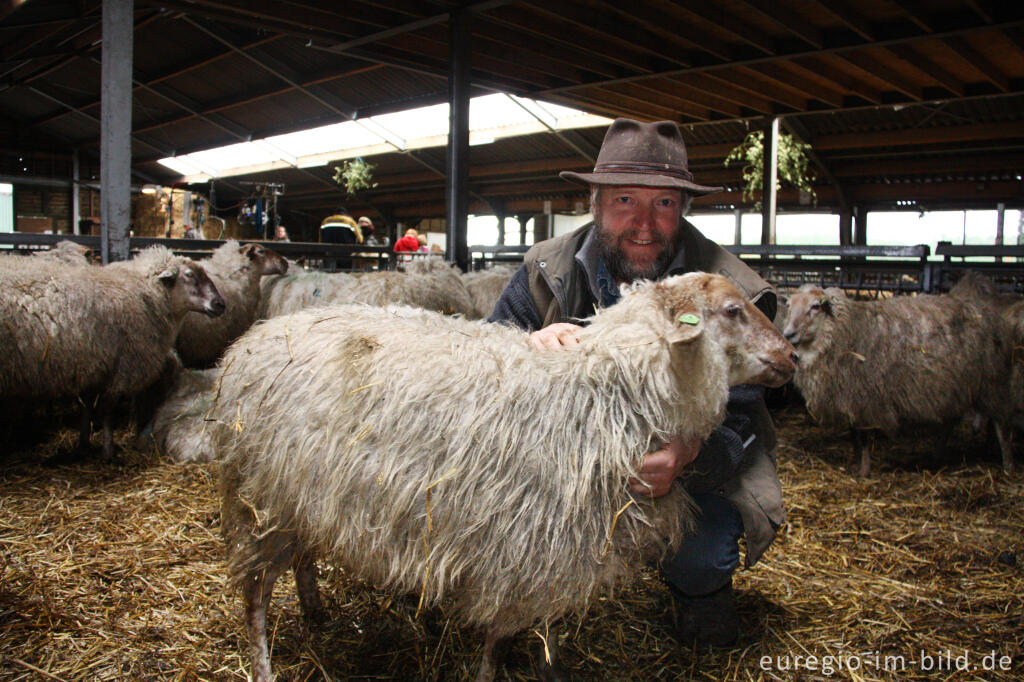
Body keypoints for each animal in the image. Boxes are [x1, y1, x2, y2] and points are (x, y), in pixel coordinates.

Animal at [0, 245, 225, 456]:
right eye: (189, 275)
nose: (220, 304)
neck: (148, 295)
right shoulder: (121, 367)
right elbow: (107, 411)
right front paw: (108, 451)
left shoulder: (92, 367)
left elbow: (87, 407)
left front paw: (83, 444)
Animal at [211, 270, 794, 679]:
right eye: (733, 310)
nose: (789, 354)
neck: (608, 390)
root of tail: (251, 340)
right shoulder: (519, 551)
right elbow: (498, 636)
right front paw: (496, 669)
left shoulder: (563, 544)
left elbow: (547, 624)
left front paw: (549, 664)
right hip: (257, 496)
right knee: (255, 595)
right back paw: (262, 665)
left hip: (302, 495)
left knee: (302, 555)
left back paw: (315, 610)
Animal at [782, 280, 1015, 473]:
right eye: (789, 306)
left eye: (815, 306)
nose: (788, 334)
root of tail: (990, 316)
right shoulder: (850, 397)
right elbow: (854, 435)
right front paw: (855, 463)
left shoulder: (865, 398)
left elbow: (863, 438)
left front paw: (863, 471)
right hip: (955, 385)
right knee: (951, 422)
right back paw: (938, 456)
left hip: (992, 383)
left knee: (1001, 425)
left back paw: (1007, 465)